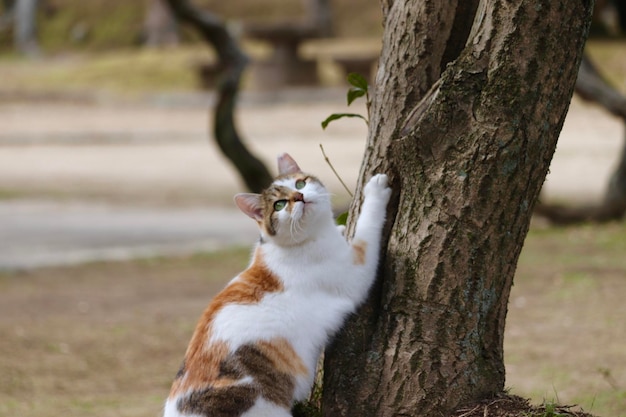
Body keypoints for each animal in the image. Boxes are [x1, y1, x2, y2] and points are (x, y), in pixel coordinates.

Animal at [166, 153, 390, 416]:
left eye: (300, 183)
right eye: (280, 205)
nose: (299, 197)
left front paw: (342, 226)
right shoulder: (356, 271)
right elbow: (367, 230)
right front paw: (375, 190)